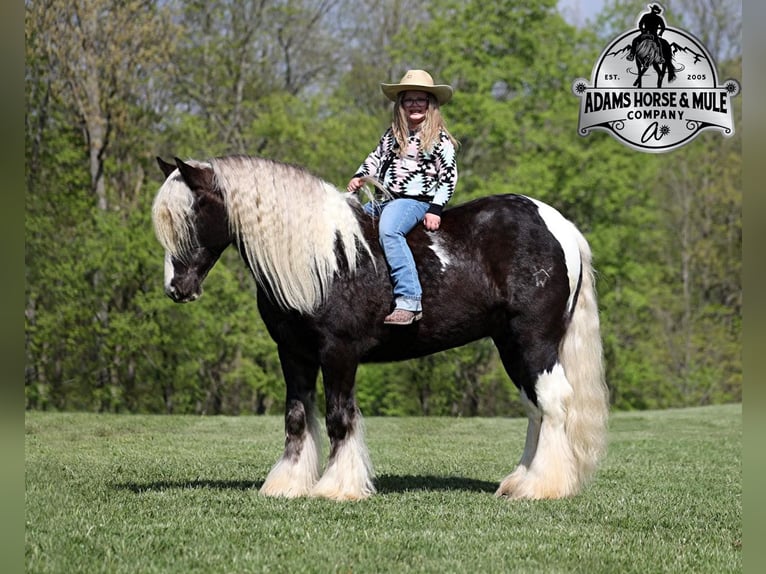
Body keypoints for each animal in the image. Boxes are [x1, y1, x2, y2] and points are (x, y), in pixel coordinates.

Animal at [151, 154, 609, 501]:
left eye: (192, 212)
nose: (176, 288)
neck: (325, 258)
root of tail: (560, 226)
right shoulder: (293, 353)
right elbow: (297, 417)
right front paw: (287, 484)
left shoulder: (339, 352)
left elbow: (339, 417)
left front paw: (336, 488)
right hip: (510, 344)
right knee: (535, 407)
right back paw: (519, 481)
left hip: (534, 340)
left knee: (553, 402)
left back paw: (542, 487)